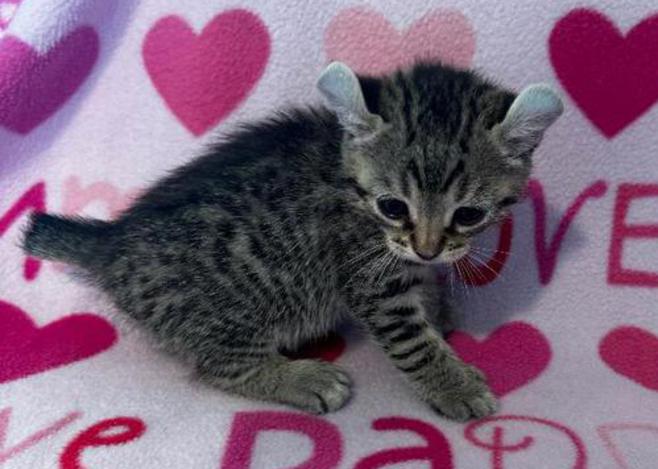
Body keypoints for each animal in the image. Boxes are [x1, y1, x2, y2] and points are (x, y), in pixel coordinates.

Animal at [23, 60, 562, 421]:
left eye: (469, 215)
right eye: (393, 206)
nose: (427, 247)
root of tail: (112, 242)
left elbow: (426, 288)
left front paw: (440, 310)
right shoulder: (370, 278)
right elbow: (412, 341)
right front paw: (452, 385)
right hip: (236, 311)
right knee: (219, 366)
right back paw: (301, 377)